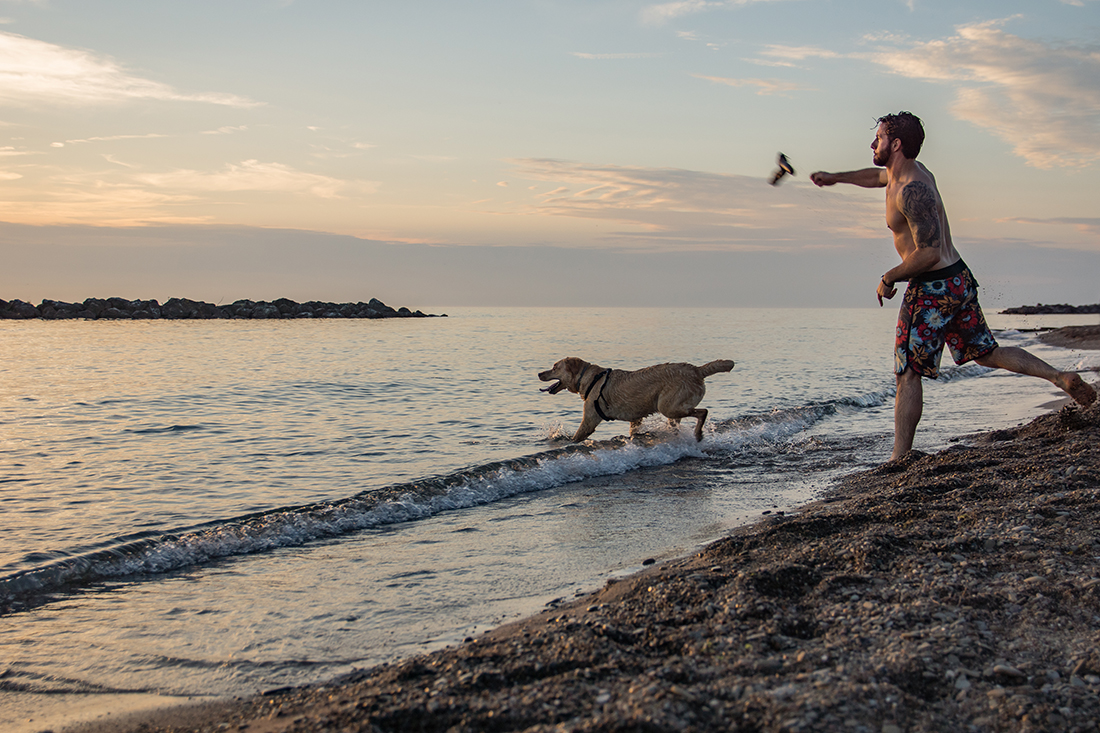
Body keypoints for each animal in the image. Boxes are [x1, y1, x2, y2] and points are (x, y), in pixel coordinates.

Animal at [539, 354, 734, 440]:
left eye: (554, 367)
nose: (540, 373)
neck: (591, 378)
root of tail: (697, 370)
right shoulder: (636, 417)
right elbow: (634, 430)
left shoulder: (589, 421)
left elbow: (575, 439)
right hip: (672, 408)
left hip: (668, 406)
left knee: (703, 411)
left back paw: (698, 433)